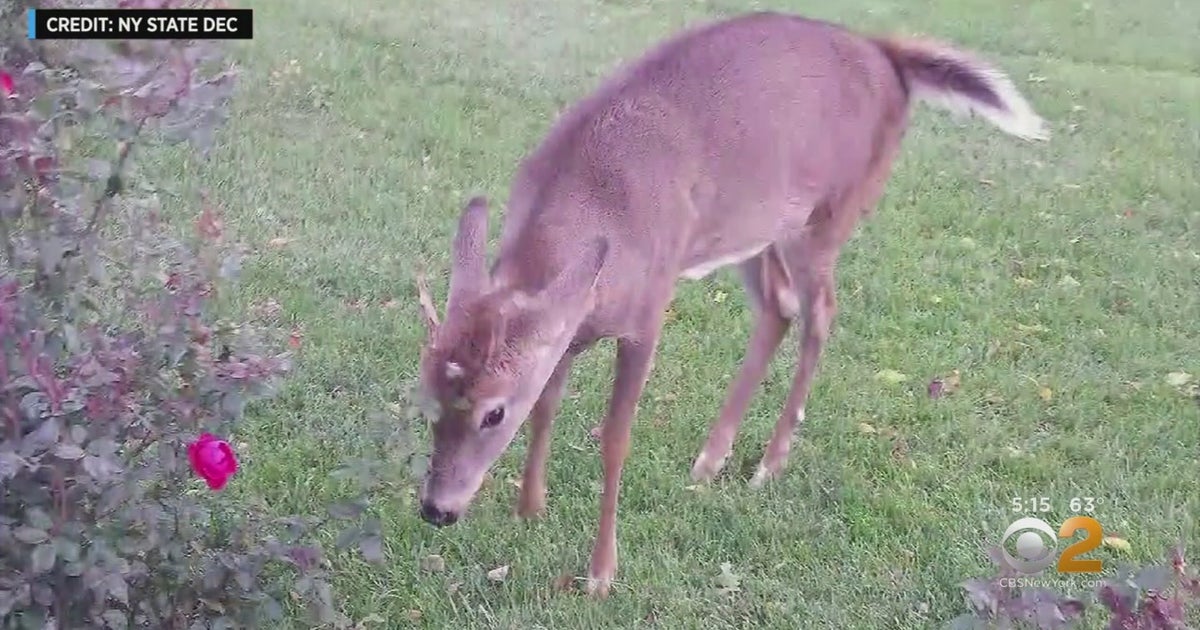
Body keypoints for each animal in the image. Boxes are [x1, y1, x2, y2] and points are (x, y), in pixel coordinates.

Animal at [412, 11, 1048, 598]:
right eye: (428, 395)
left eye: (493, 413)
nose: (436, 509)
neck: (597, 205)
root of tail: (889, 55)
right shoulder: (570, 322)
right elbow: (547, 400)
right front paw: (531, 508)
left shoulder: (648, 309)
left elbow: (614, 437)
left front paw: (601, 573)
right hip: (757, 227)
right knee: (779, 308)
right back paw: (710, 460)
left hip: (826, 213)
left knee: (821, 311)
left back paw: (769, 462)